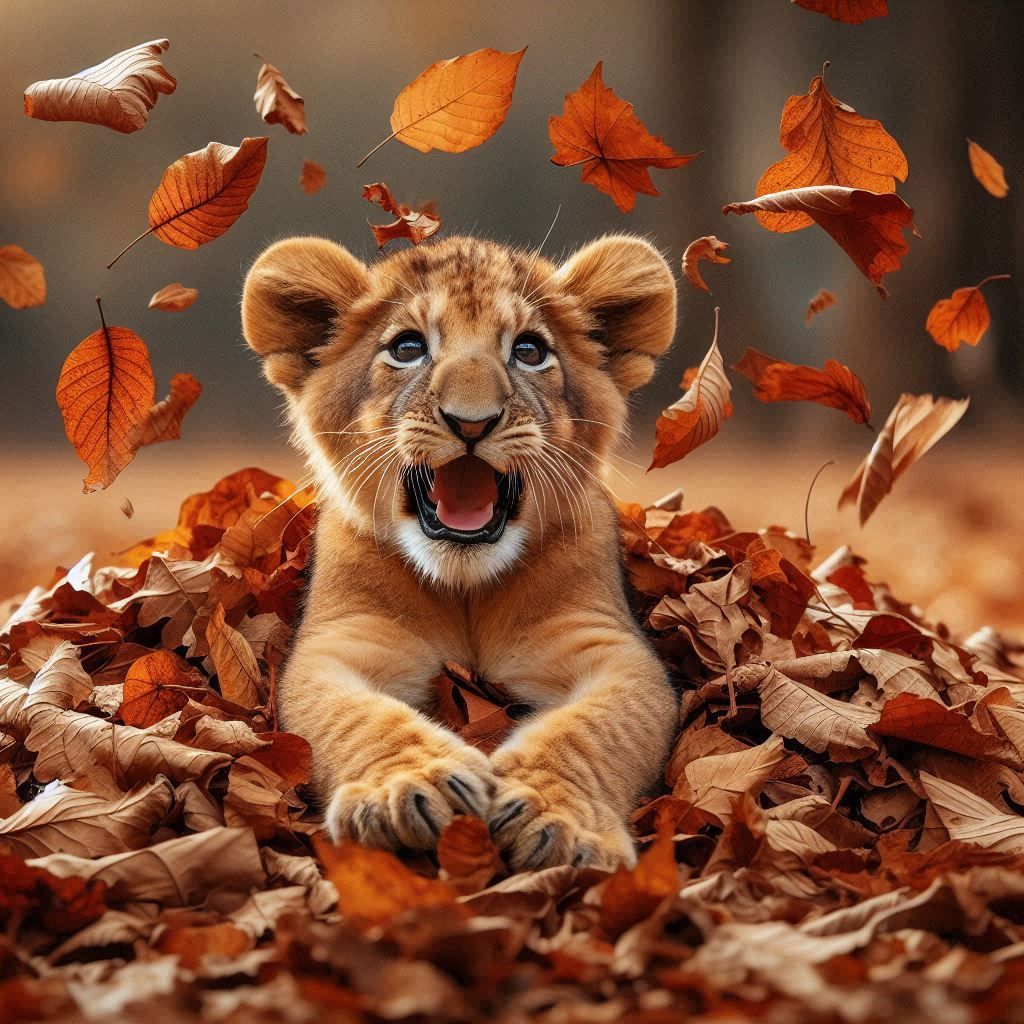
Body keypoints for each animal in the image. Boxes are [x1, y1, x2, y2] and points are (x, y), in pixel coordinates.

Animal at [241, 233, 679, 870]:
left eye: (529, 350)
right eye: (407, 347)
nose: (471, 422)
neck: (466, 586)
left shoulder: (610, 646)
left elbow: (594, 729)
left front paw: (554, 818)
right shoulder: (341, 642)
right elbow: (358, 717)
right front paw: (411, 786)